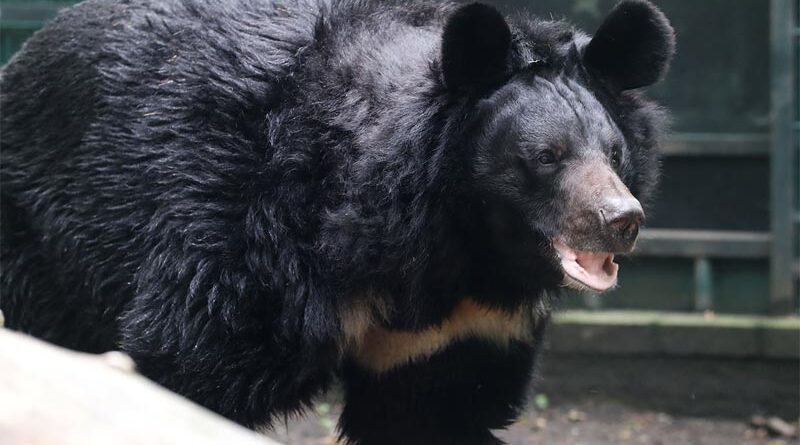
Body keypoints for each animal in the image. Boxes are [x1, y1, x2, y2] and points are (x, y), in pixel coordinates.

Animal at [1, 0, 676, 442]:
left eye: (614, 154)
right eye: (545, 156)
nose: (621, 219)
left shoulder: (452, 328)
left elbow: (435, 408)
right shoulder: (238, 235)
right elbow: (192, 365)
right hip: (41, 239)